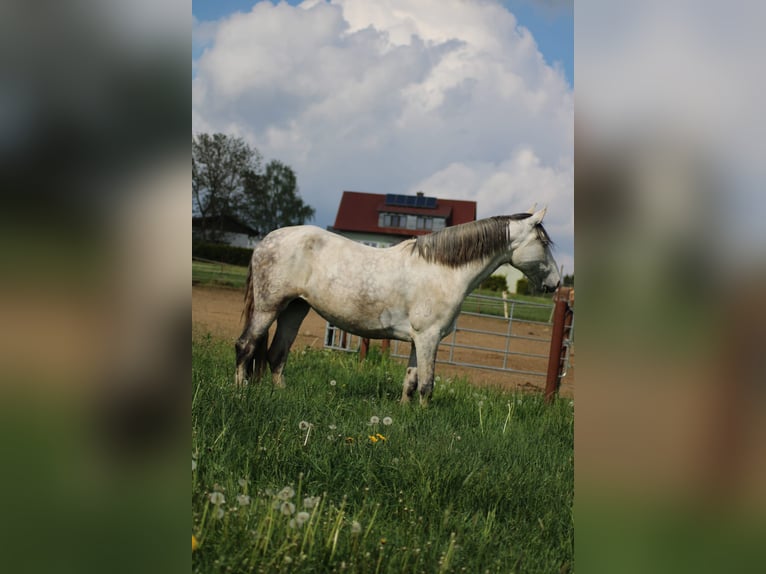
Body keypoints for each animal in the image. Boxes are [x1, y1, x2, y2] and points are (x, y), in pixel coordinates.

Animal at [235, 208, 560, 405]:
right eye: (543, 243)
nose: (556, 283)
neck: (443, 271)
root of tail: (268, 239)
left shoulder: (419, 339)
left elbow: (411, 381)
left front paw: (405, 414)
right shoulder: (429, 337)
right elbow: (427, 384)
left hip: (295, 309)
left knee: (277, 355)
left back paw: (281, 394)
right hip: (268, 308)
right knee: (246, 346)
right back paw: (240, 391)